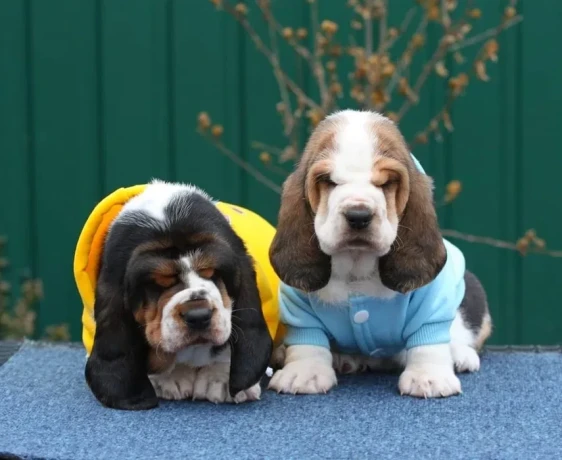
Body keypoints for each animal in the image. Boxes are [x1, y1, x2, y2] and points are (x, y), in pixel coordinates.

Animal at [266, 108, 490, 398]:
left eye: (387, 182)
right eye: (328, 181)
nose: (358, 216)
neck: (355, 270)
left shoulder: (432, 303)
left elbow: (428, 340)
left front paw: (428, 377)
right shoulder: (299, 307)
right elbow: (307, 341)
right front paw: (304, 372)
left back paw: (461, 355)